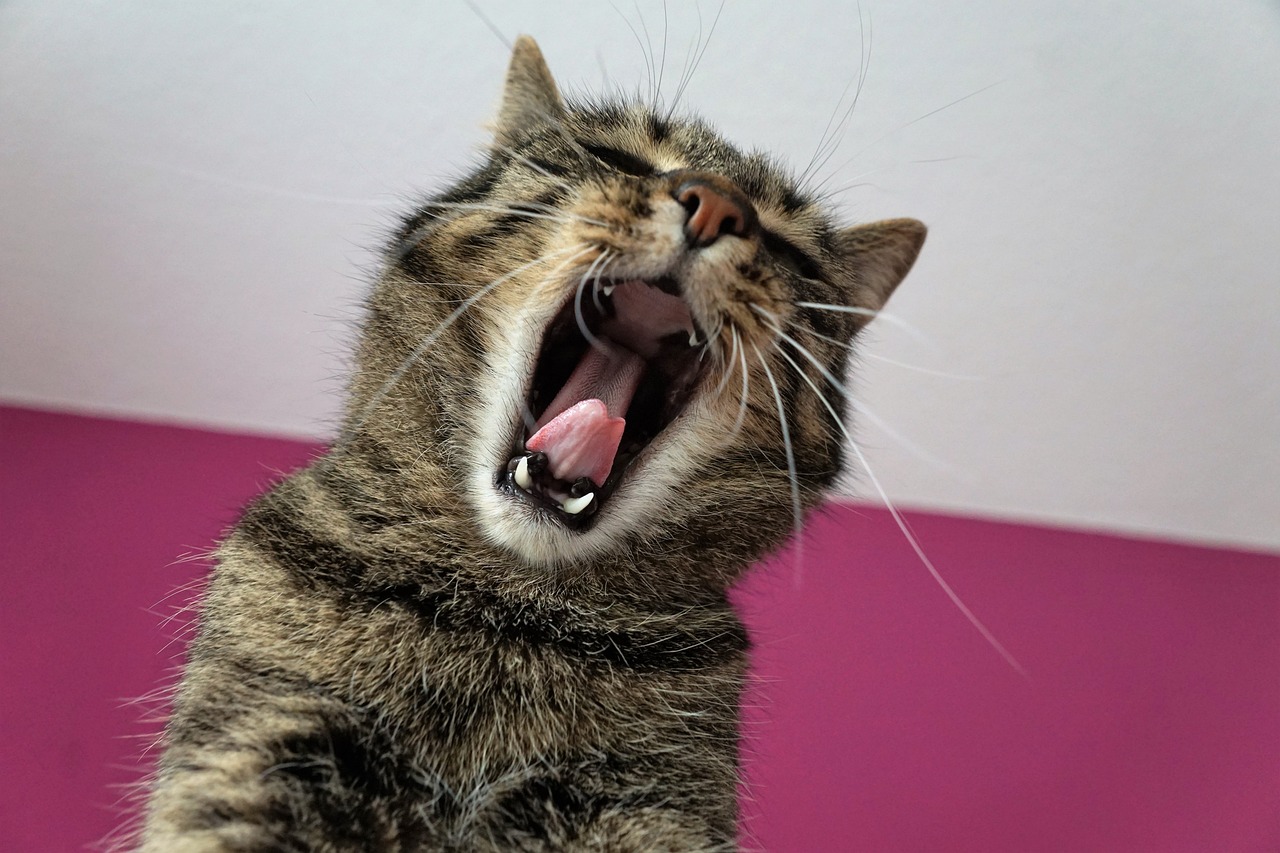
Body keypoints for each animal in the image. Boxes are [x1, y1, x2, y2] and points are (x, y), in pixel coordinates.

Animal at [137, 34, 921, 850]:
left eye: (789, 248)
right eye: (616, 157)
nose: (718, 203)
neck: (508, 607)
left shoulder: (652, 812)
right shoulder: (263, 739)